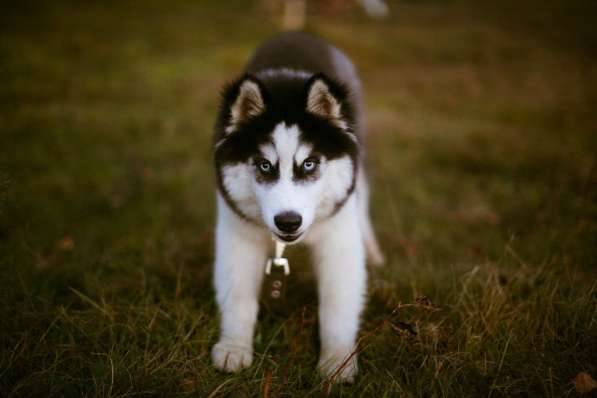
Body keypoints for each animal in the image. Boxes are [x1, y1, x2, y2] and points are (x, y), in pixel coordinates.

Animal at [212, 31, 384, 382]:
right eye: (264, 165)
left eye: (309, 164)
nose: (288, 222)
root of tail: (298, 32)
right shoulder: (237, 233)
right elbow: (238, 294)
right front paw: (234, 346)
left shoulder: (338, 238)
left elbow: (336, 303)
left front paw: (337, 361)